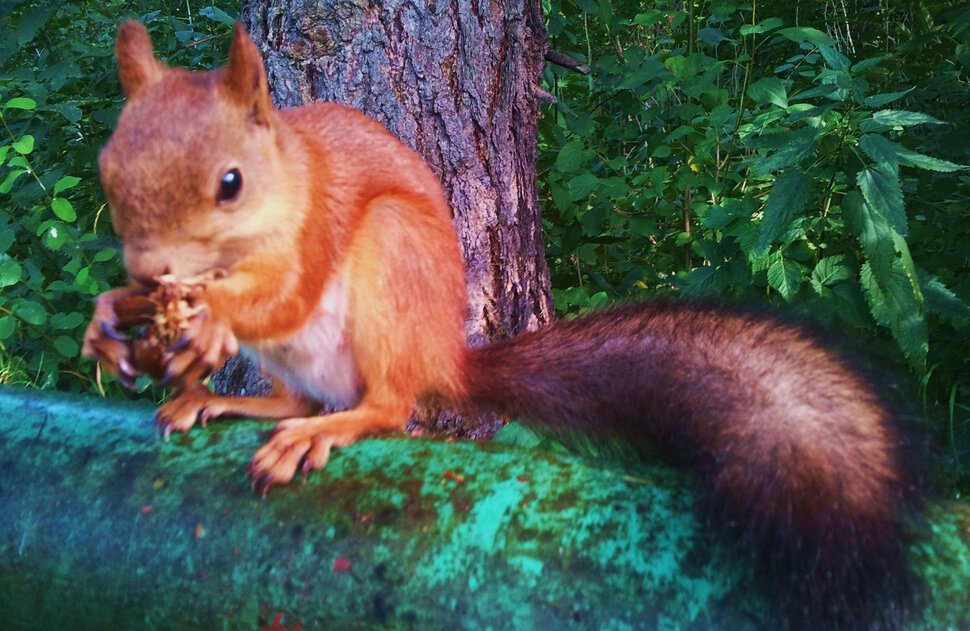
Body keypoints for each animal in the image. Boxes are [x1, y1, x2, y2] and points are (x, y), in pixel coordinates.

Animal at [83, 22, 916, 628]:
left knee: (384, 405)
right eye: (107, 167)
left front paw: (210, 314)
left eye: (230, 183)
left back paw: (323, 426)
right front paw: (108, 318)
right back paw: (220, 399)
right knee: (296, 397)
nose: (152, 271)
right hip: (298, 358)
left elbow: (285, 292)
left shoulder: (317, 227)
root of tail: (442, 355)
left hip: (390, 259)